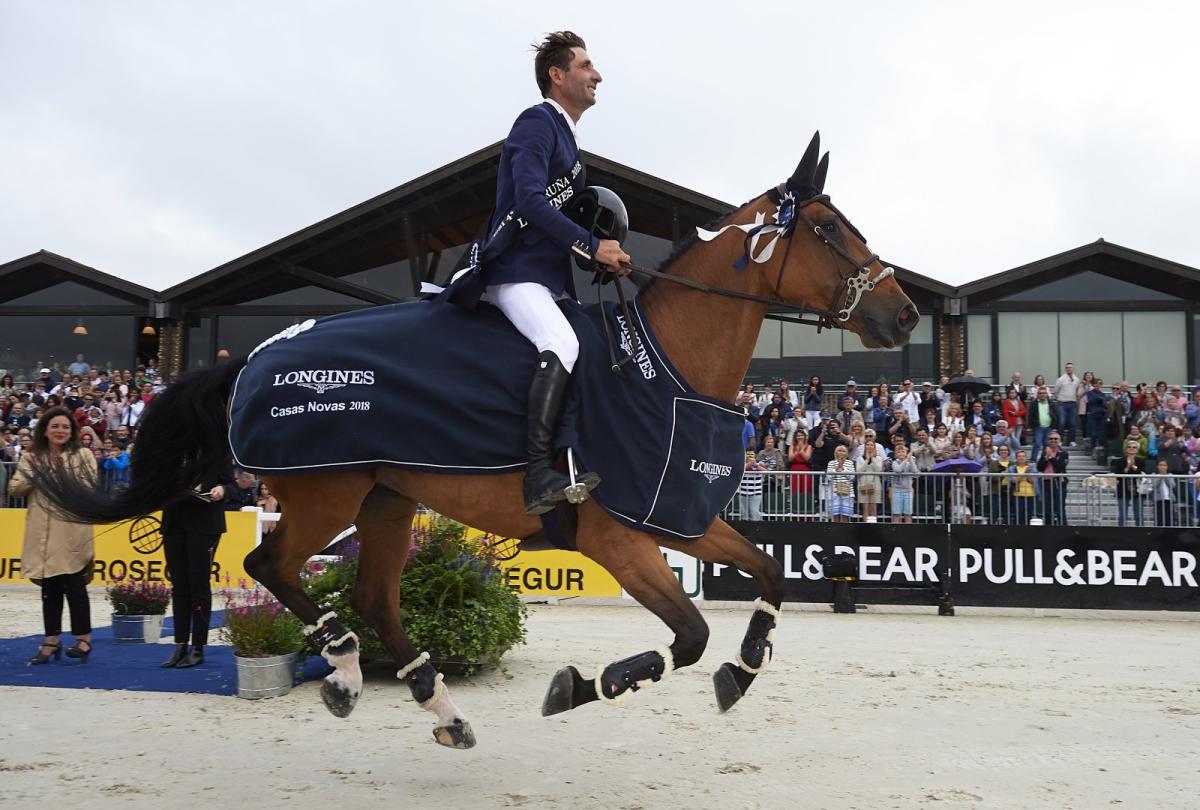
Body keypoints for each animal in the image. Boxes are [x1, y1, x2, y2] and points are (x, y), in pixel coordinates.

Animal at [34, 132, 917, 749]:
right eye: (829, 229)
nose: (903, 313)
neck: (662, 368)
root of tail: (251, 354)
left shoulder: (681, 515)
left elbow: (766, 574)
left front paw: (743, 667)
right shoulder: (619, 537)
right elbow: (691, 635)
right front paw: (590, 683)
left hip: (387, 500)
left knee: (370, 597)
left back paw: (436, 703)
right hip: (328, 492)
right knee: (269, 567)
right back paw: (345, 667)